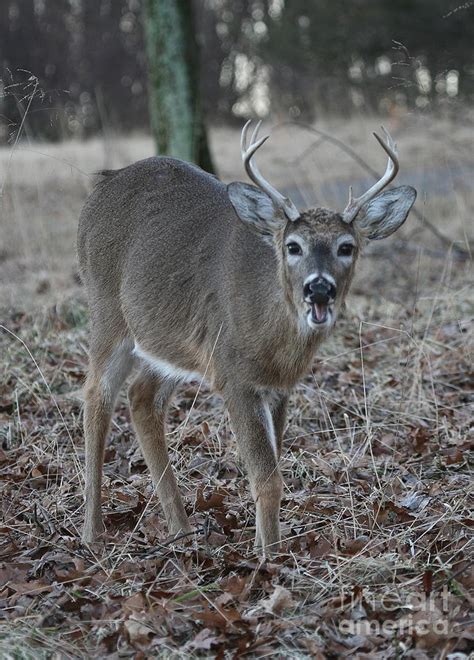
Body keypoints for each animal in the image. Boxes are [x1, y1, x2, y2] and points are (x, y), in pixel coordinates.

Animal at [79, 122, 416, 552]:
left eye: (346, 246)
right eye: (293, 246)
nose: (319, 288)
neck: (272, 342)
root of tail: (102, 185)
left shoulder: (277, 387)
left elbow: (274, 466)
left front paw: (262, 544)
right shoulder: (233, 376)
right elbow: (267, 478)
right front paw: (271, 555)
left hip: (170, 343)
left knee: (141, 397)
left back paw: (181, 529)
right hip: (106, 310)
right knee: (96, 396)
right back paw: (92, 533)